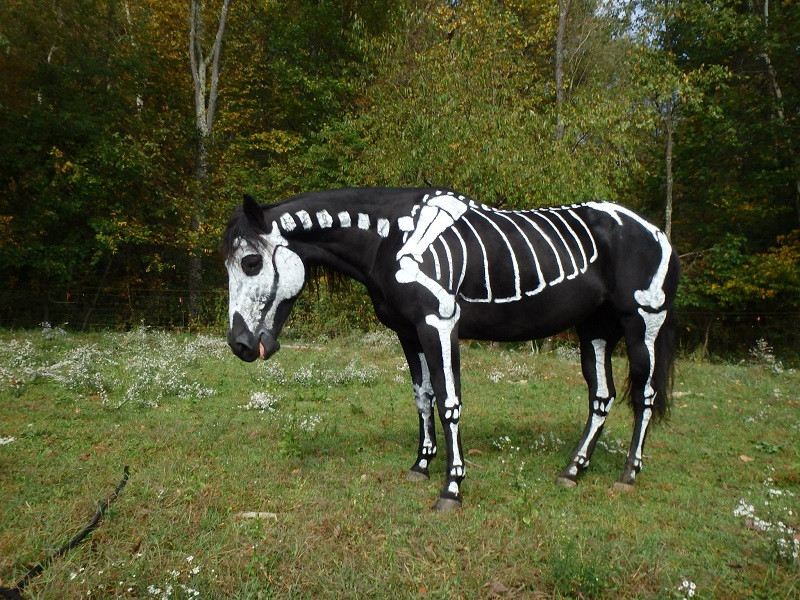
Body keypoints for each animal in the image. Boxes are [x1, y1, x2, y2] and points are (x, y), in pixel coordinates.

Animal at [223, 187, 679, 511]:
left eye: (250, 263)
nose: (240, 345)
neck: (390, 239)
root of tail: (658, 233)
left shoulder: (439, 322)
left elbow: (448, 400)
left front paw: (452, 487)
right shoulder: (408, 333)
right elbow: (422, 397)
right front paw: (421, 466)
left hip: (643, 323)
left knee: (645, 395)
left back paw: (628, 474)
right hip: (595, 329)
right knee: (602, 397)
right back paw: (572, 470)